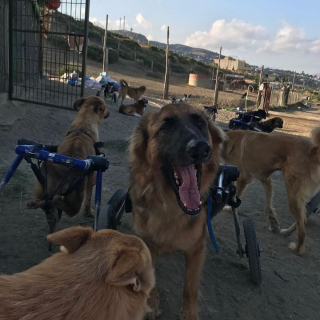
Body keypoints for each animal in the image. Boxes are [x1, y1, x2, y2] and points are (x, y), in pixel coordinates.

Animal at [26, 96, 109, 246]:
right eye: (105, 107)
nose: (109, 113)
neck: (83, 124)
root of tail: (62, 172)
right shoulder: (91, 176)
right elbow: (89, 200)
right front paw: (90, 213)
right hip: (76, 197)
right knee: (59, 202)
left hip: (40, 186)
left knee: (46, 204)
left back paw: (39, 208)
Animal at [221, 127, 320, 255]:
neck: (230, 141)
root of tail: (313, 151)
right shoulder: (266, 179)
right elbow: (268, 205)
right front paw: (273, 222)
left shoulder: (243, 177)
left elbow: (236, 197)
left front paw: (229, 208)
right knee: (302, 220)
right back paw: (286, 232)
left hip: (293, 195)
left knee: (302, 229)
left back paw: (297, 249)